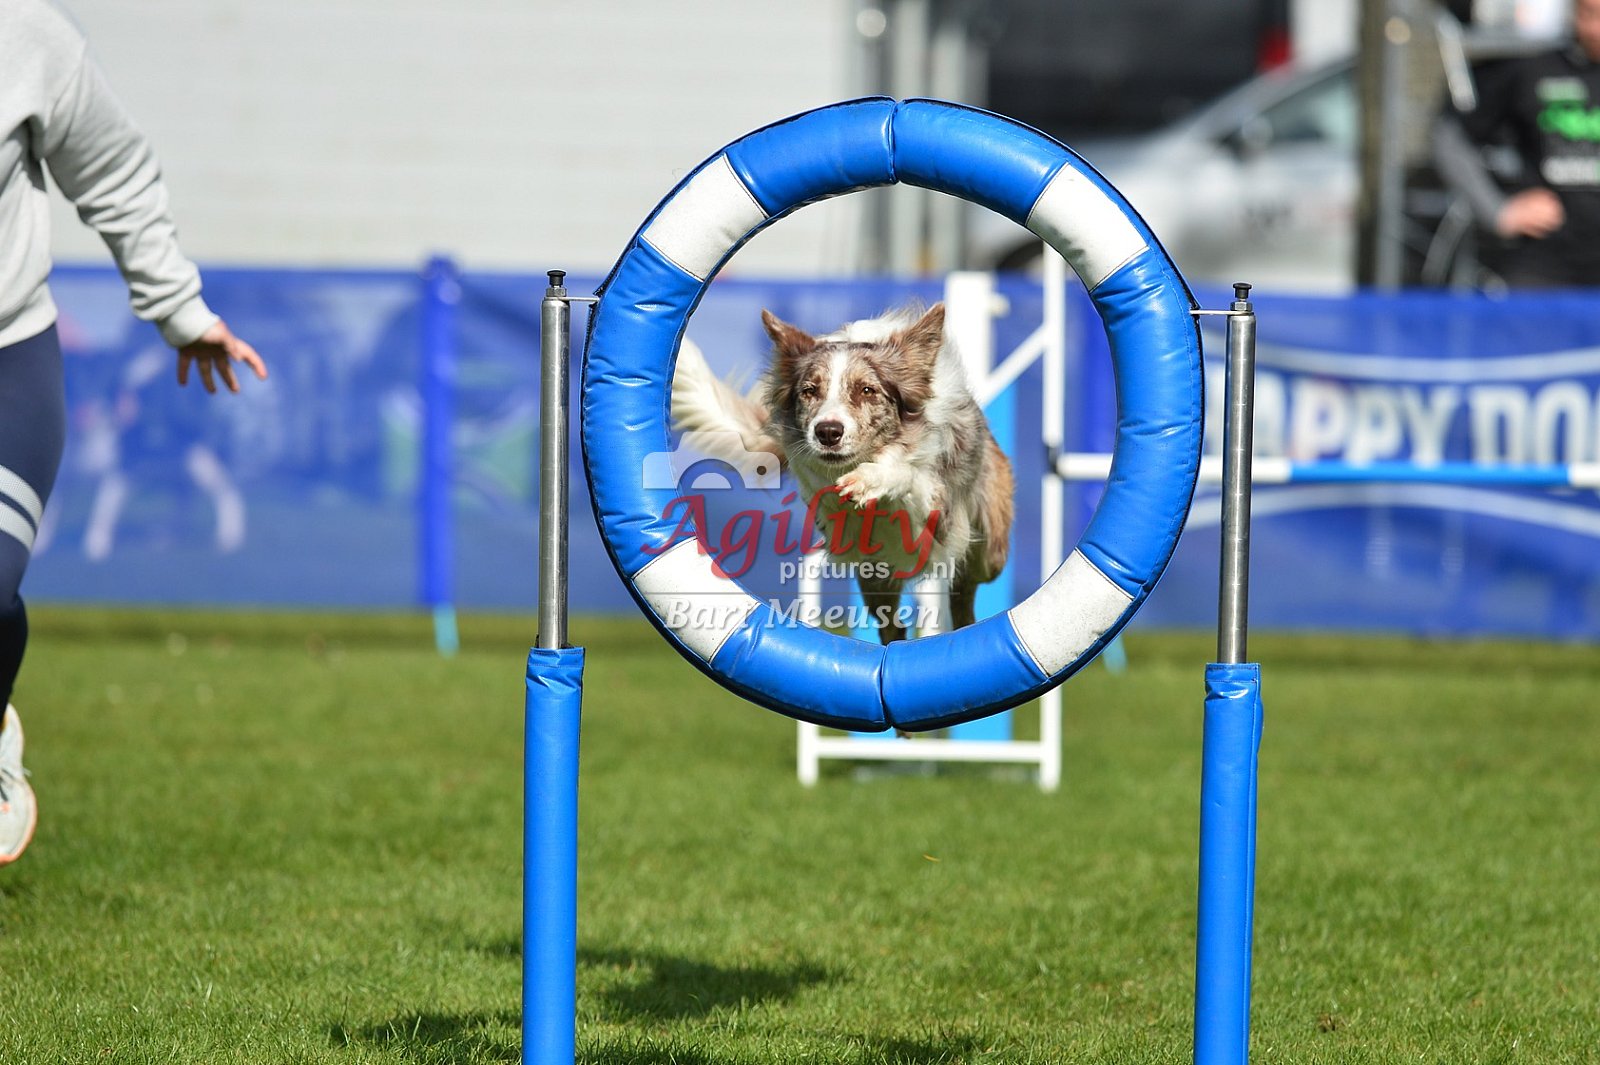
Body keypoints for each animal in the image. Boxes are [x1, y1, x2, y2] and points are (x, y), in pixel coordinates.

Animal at [671, 302, 1014, 643]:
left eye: (867, 390)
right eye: (809, 391)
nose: (827, 432)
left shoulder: (938, 512)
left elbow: (905, 475)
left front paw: (870, 480)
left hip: (988, 554)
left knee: (964, 590)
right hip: (874, 577)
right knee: (893, 625)